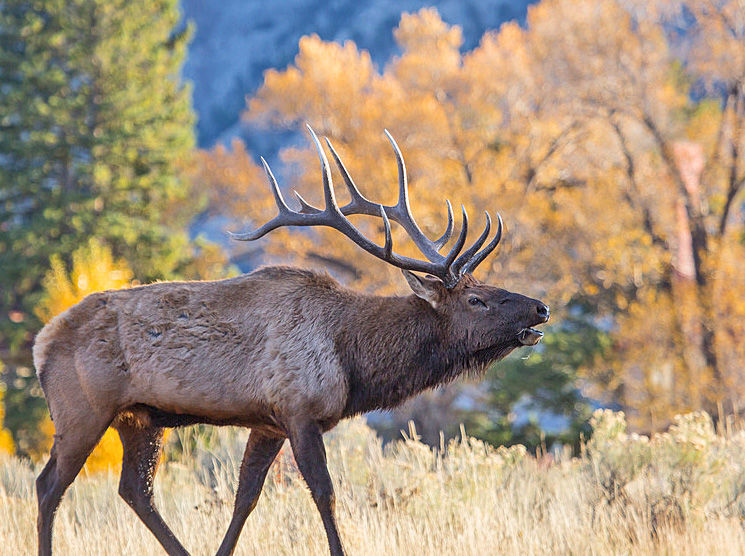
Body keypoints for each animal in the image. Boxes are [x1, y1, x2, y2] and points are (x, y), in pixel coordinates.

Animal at [33, 125, 549, 556]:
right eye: (478, 300)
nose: (541, 308)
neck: (353, 360)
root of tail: (41, 342)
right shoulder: (299, 410)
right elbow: (325, 493)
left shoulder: (268, 422)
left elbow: (245, 497)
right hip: (82, 410)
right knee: (49, 486)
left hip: (140, 417)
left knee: (135, 490)